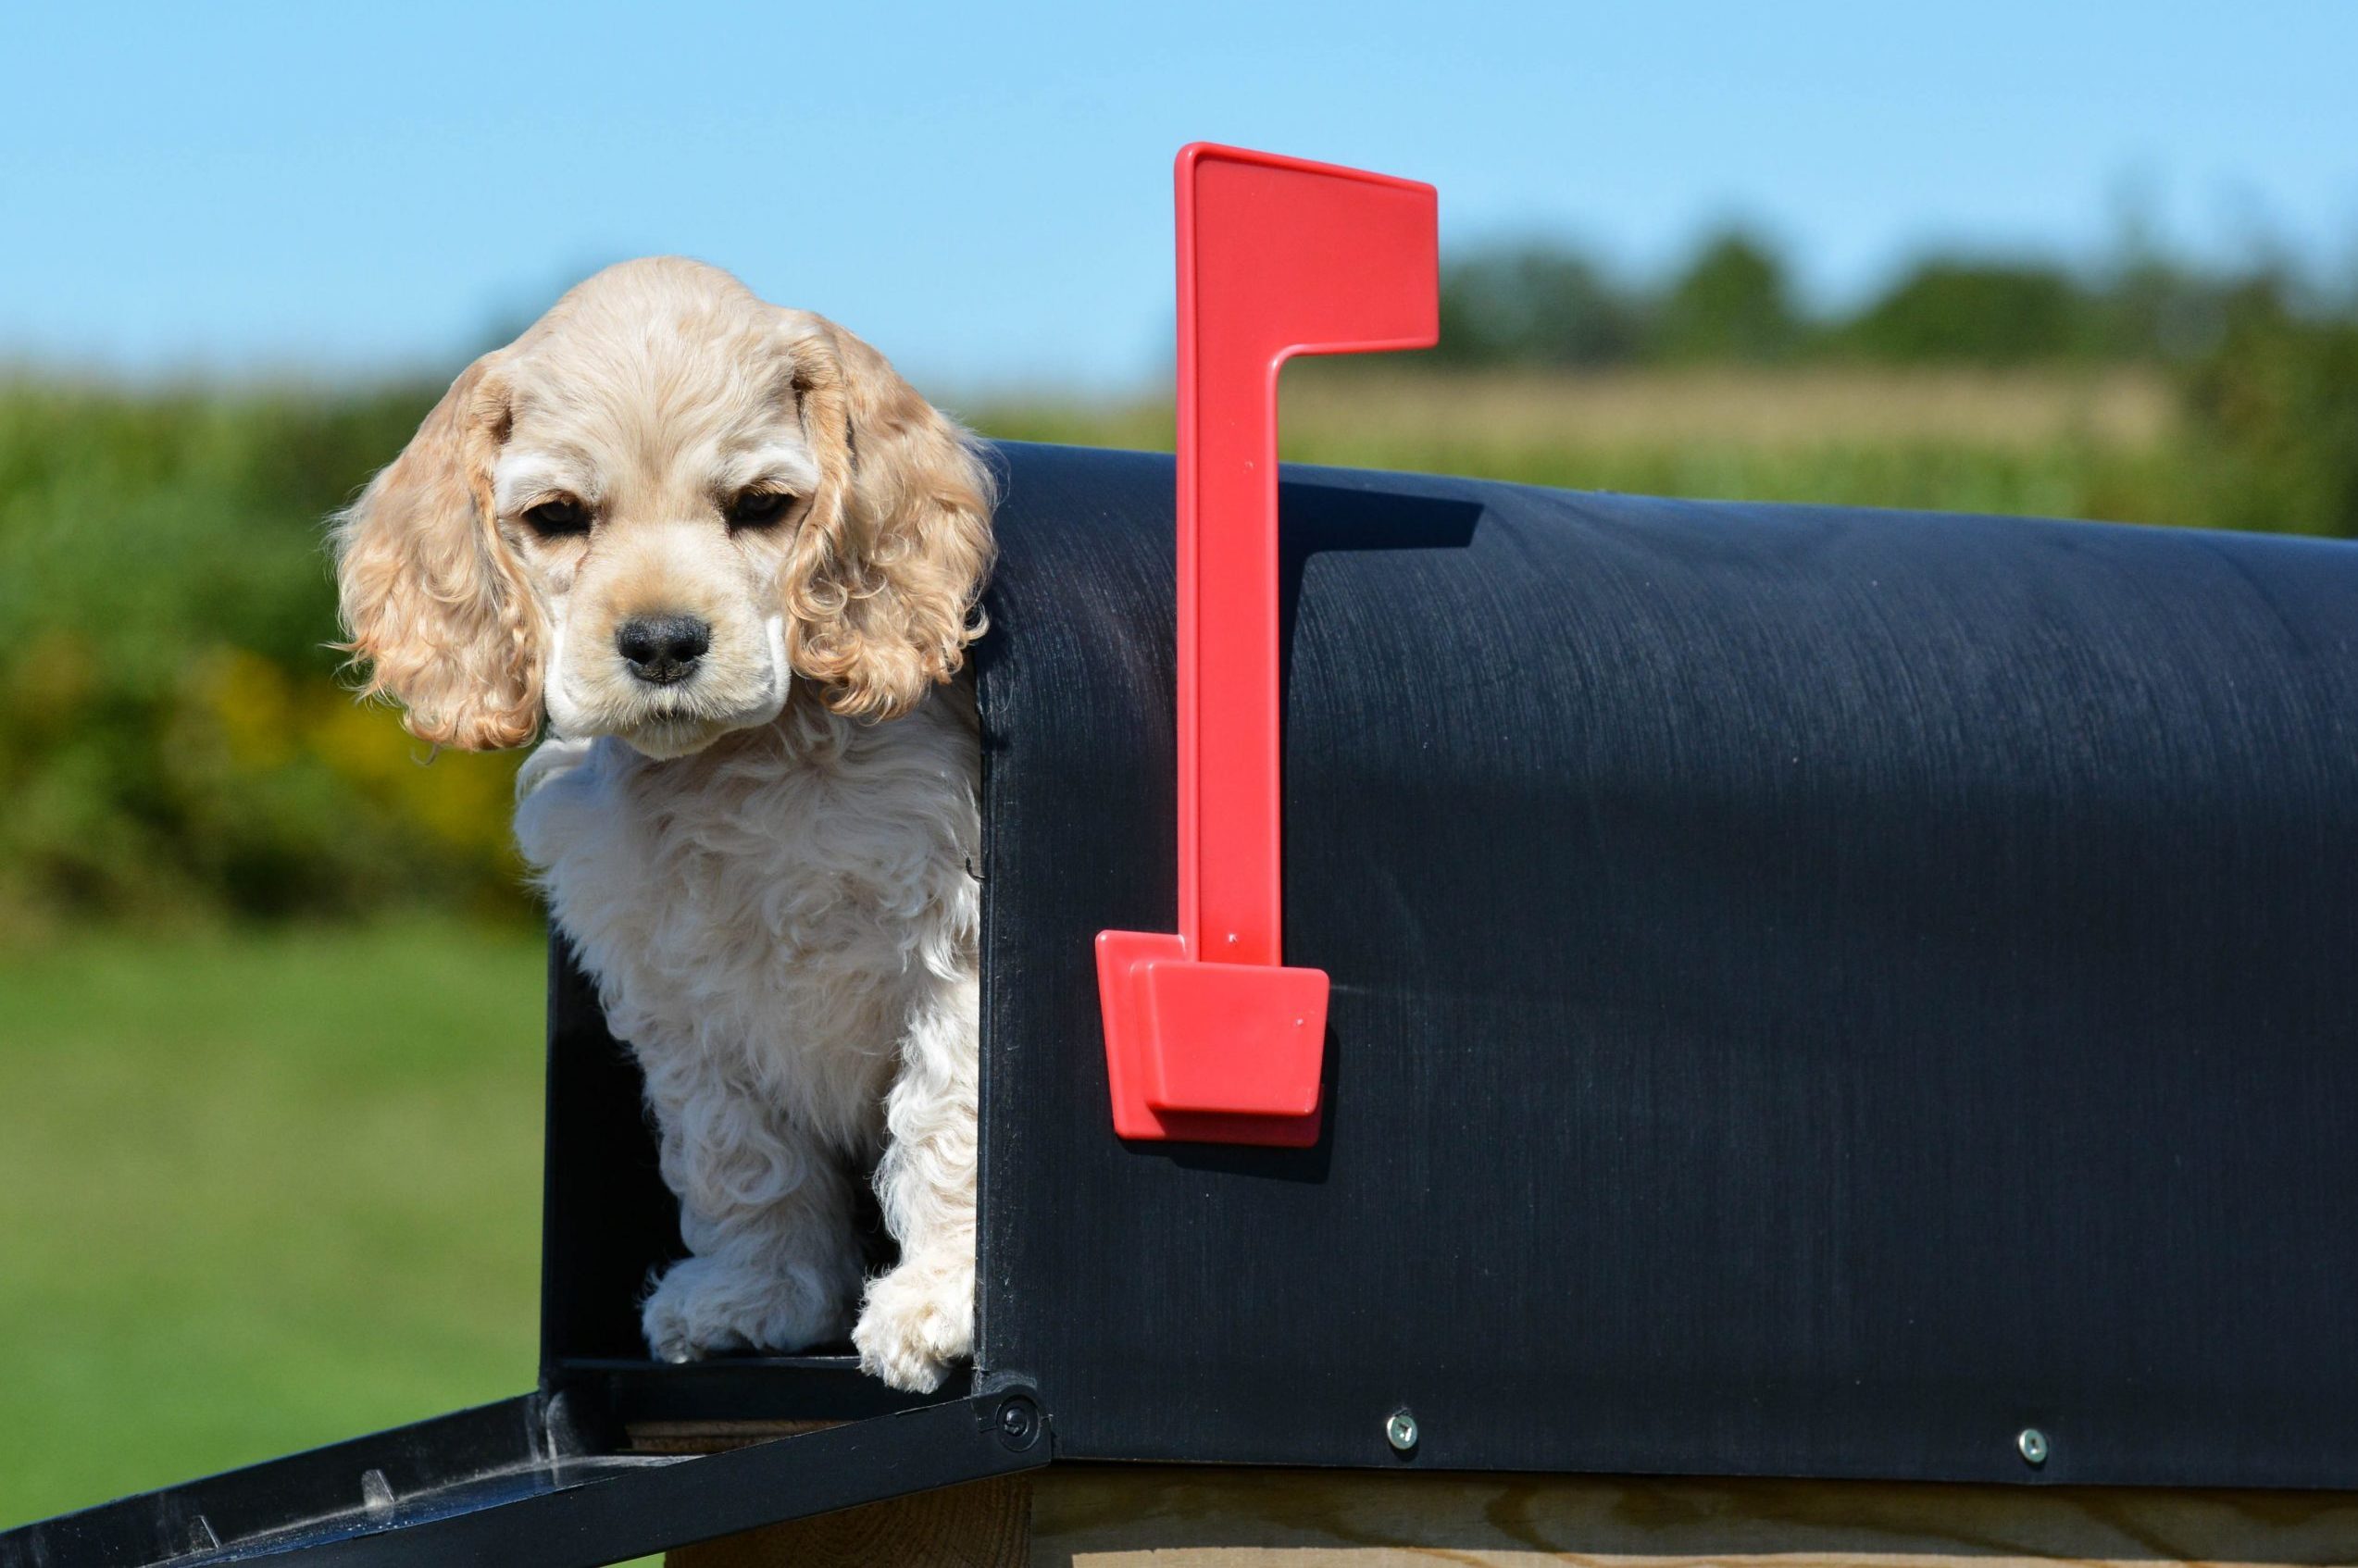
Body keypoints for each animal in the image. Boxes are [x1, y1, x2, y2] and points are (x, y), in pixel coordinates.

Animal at [332, 256, 994, 1396]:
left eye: (762, 506)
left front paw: (939, 1300)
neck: (736, 768)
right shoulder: (681, 1000)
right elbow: (740, 1155)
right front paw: (758, 1299)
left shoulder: (954, 941)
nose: (661, 642)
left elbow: (947, 1117)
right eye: (558, 516)